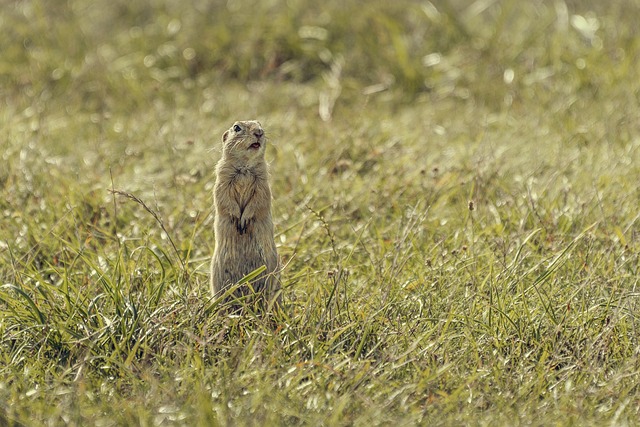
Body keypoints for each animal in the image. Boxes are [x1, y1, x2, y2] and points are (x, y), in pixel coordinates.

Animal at [210, 120, 280, 308]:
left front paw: (244, 220)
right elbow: (224, 199)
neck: (245, 167)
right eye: (237, 127)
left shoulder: (262, 182)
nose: (259, 132)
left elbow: (259, 200)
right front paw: (237, 219)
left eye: (259, 124)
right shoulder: (223, 179)